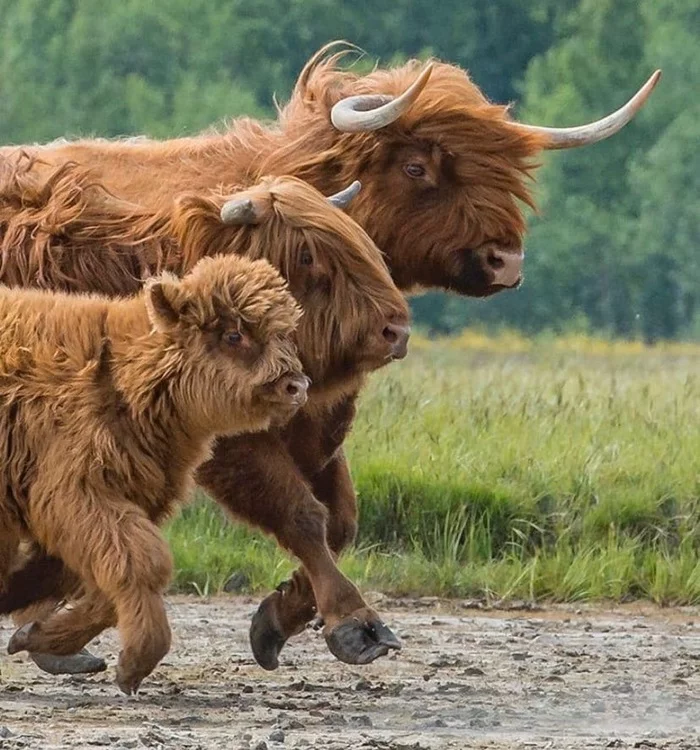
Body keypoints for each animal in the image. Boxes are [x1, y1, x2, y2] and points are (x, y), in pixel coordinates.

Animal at [0, 251, 306, 692]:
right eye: (233, 335)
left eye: (284, 333)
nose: (296, 386)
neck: (120, 374)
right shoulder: (79, 496)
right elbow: (142, 563)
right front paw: (135, 664)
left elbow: (94, 582)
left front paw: (34, 635)